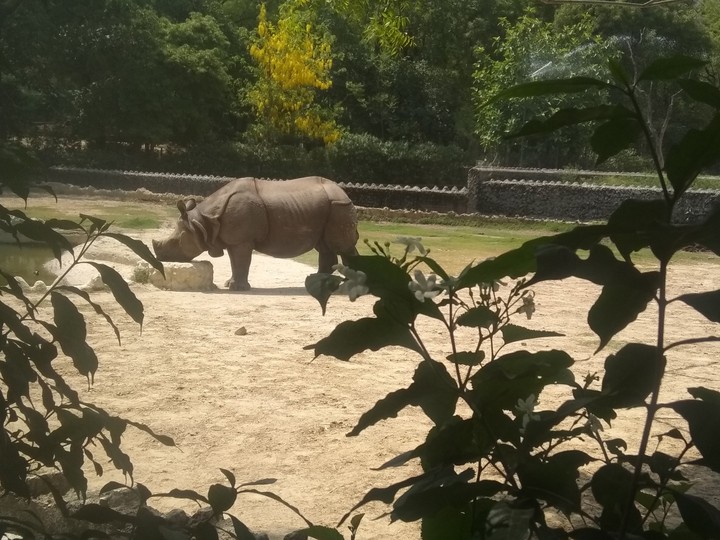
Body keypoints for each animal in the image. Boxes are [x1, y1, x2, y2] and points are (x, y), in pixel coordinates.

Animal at [152, 176, 359, 291]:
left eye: (175, 243)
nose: (160, 257)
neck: (202, 222)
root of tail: (344, 192)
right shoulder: (233, 239)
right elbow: (234, 263)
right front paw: (229, 284)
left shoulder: (242, 240)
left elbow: (242, 261)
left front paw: (237, 289)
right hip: (328, 208)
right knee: (325, 247)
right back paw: (319, 284)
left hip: (339, 207)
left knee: (343, 246)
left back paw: (350, 287)